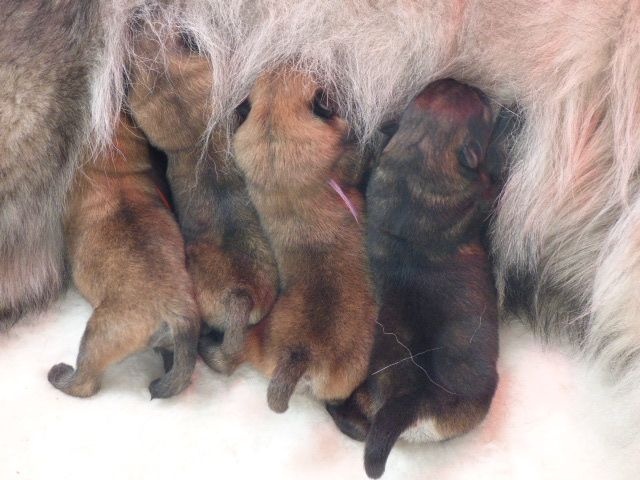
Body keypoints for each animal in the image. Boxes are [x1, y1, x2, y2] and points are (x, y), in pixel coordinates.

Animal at [330, 80, 500, 478]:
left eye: (437, 86)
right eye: (483, 109)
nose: (463, 79)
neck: (421, 154)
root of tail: (412, 400)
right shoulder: (479, 191)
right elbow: (490, 186)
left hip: (370, 393)